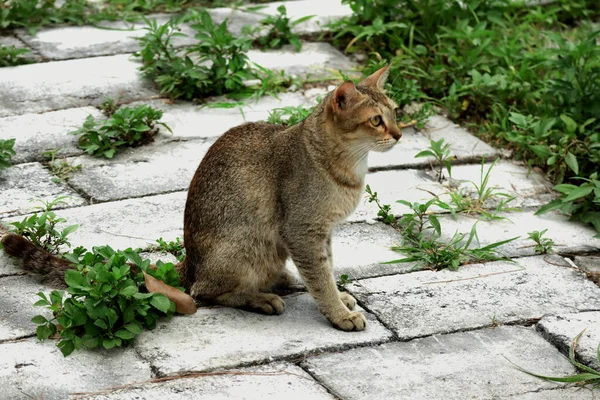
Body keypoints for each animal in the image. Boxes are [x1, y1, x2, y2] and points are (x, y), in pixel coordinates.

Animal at [3, 65, 404, 332]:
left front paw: (340, 297)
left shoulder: (323, 231)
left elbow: (327, 268)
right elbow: (320, 276)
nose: (400, 134)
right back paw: (261, 297)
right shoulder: (303, 229)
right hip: (245, 247)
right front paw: (338, 313)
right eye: (375, 121)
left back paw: (278, 281)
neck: (345, 165)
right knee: (205, 291)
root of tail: (189, 262)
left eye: (396, 113)